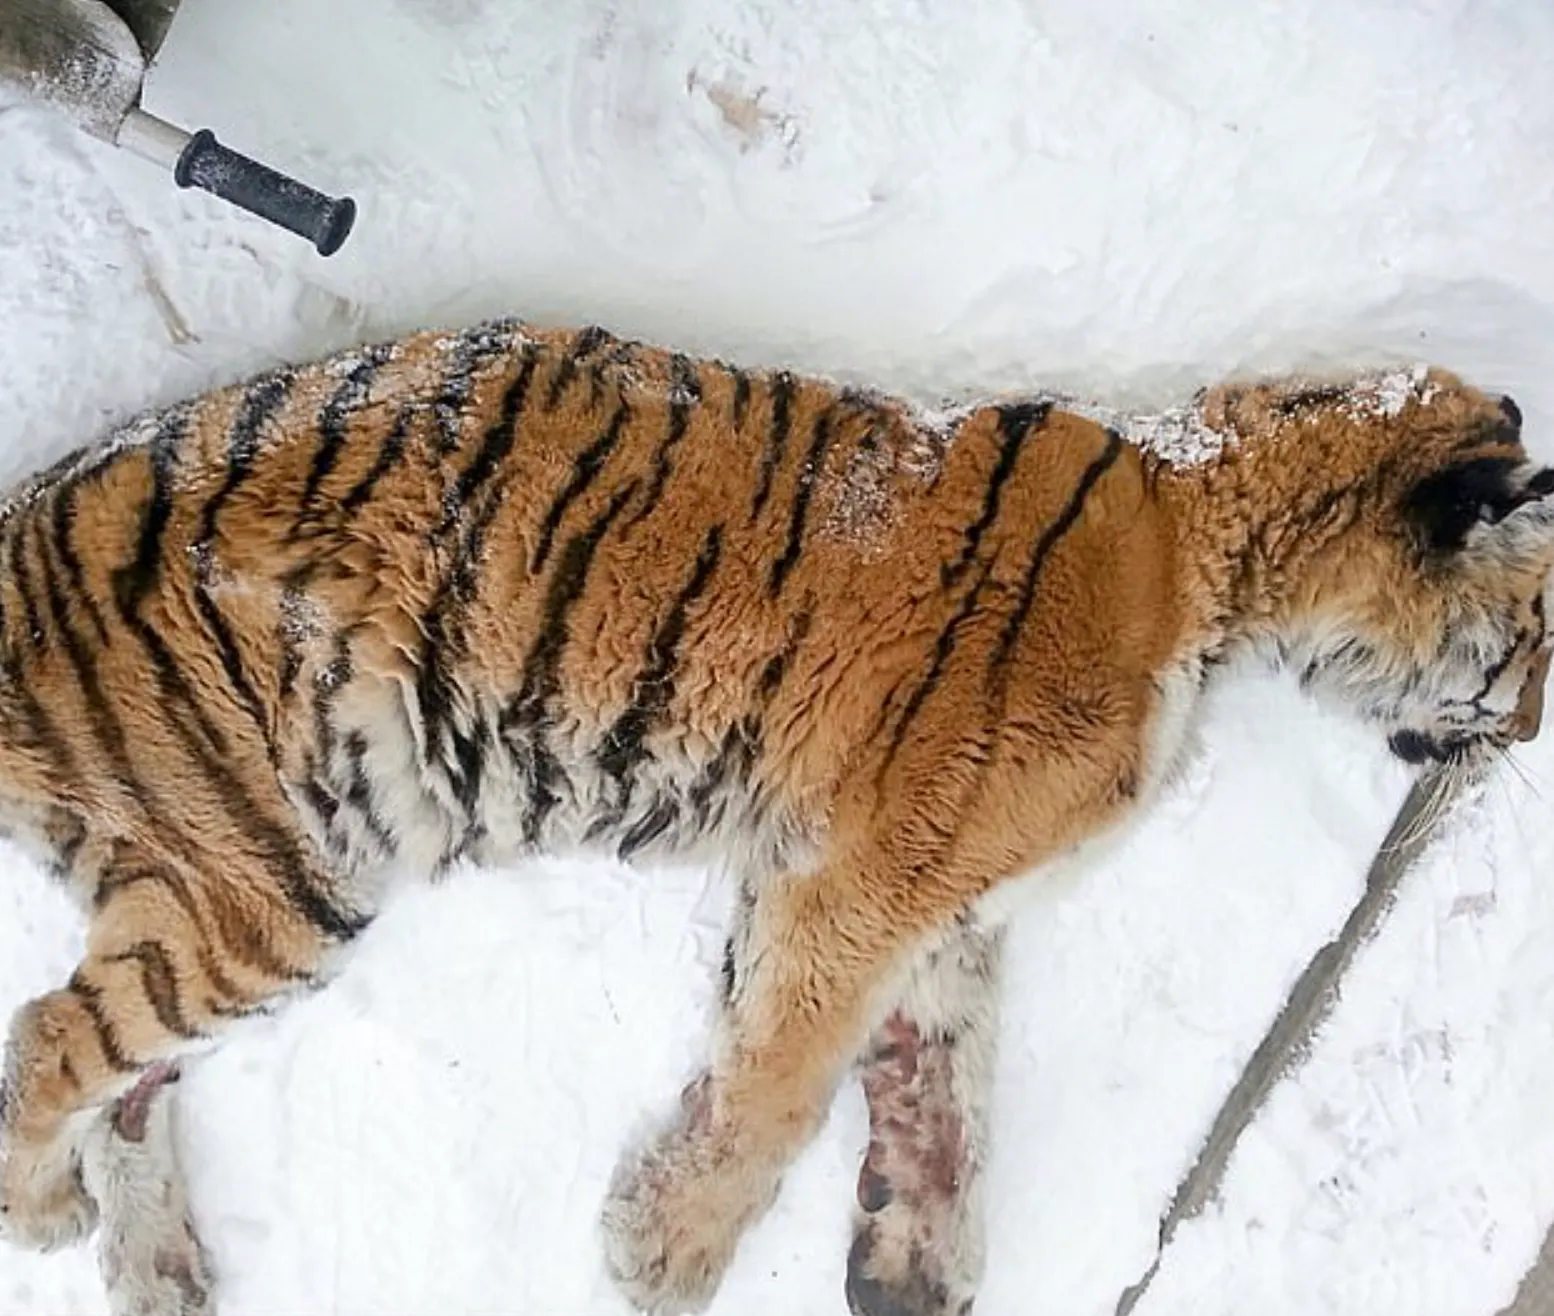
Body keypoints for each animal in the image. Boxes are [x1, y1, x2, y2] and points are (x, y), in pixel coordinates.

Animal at [0, 318, 1541, 1316]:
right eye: (1532, 641)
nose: (1525, 740)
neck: (1213, 552)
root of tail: (18, 524)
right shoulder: (867, 872)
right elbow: (784, 1079)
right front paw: (663, 1253)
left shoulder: (947, 892)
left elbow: (948, 1071)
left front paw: (914, 1264)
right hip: (279, 872)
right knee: (51, 1037)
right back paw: (37, 1212)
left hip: (196, 869)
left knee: (123, 1072)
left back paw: (157, 1275)